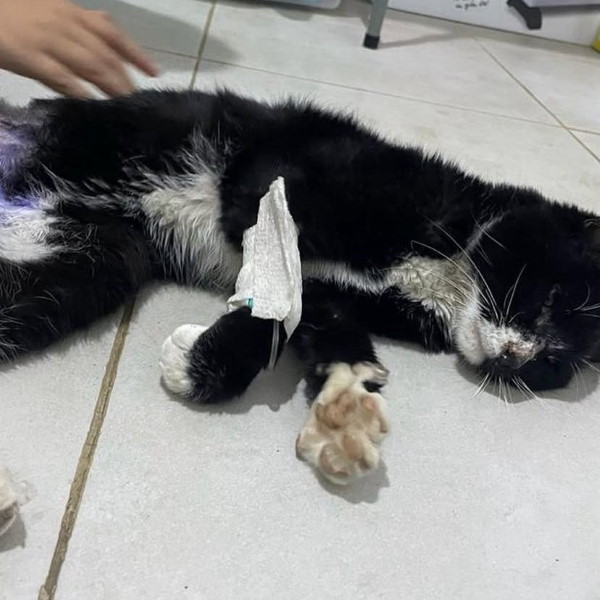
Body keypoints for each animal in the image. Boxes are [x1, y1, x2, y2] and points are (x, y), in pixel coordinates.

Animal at [1, 89, 599, 484]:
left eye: (553, 367)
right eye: (549, 300)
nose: (517, 357)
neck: (451, 262)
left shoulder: (343, 297)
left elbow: (321, 320)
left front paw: (345, 392)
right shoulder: (280, 169)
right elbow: (278, 267)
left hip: (97, 260)